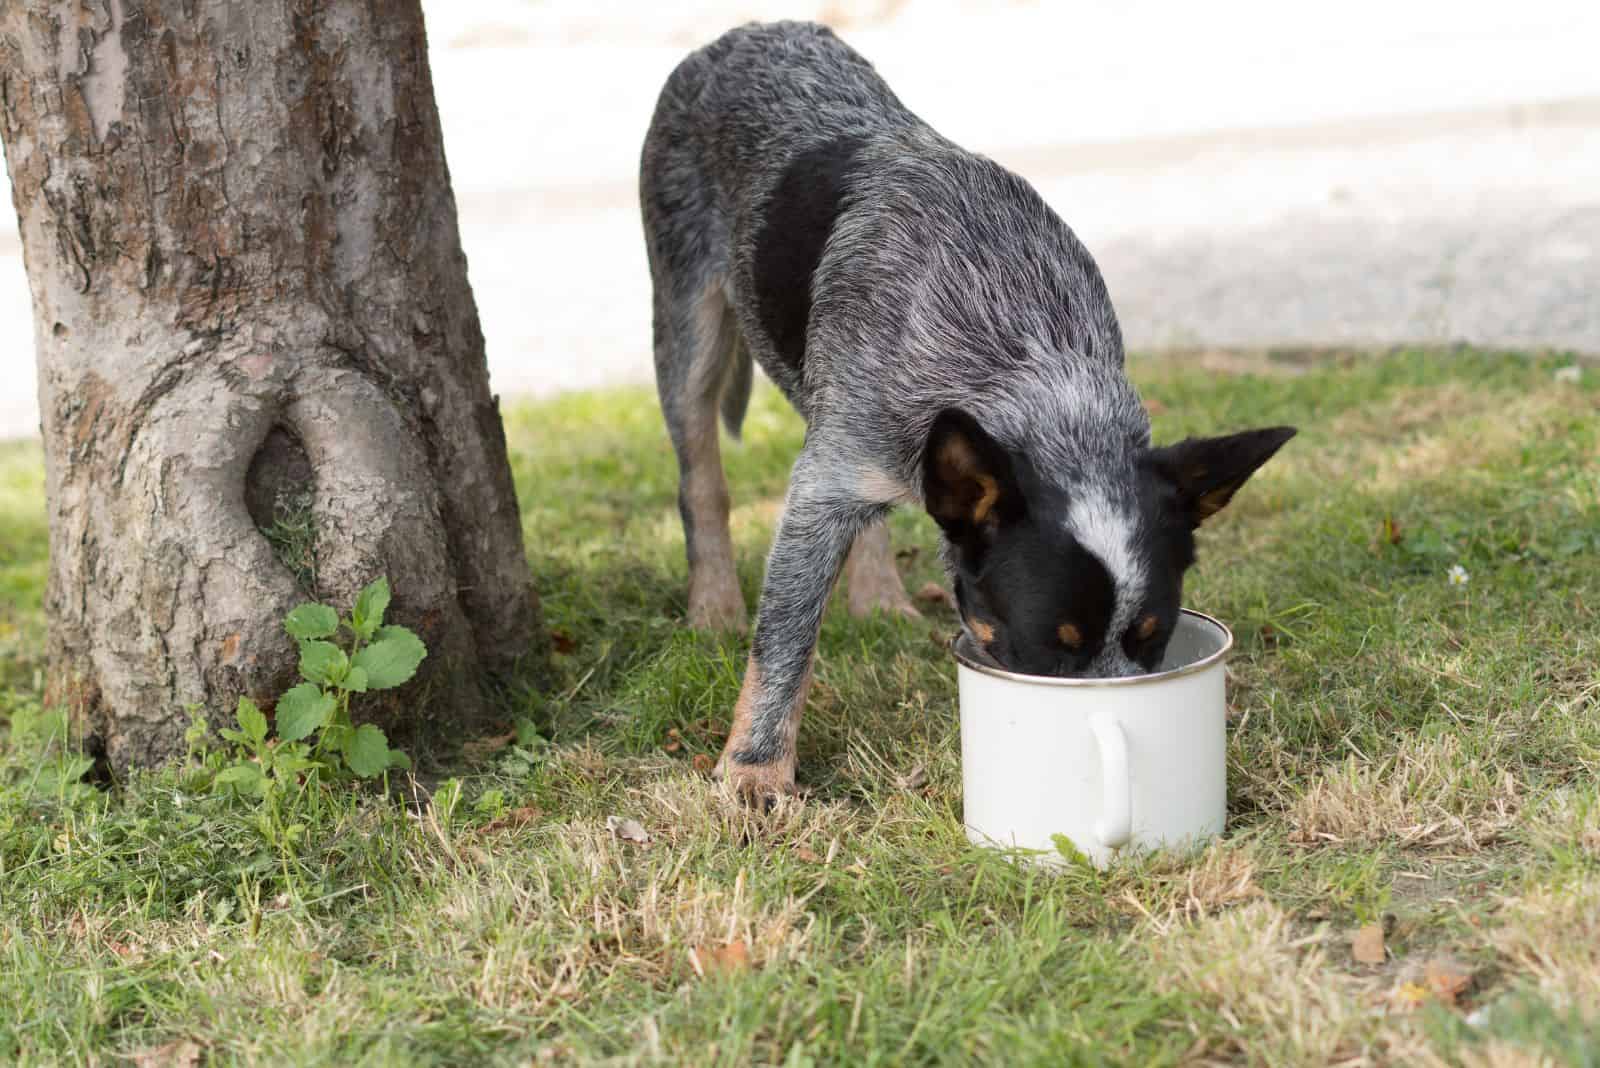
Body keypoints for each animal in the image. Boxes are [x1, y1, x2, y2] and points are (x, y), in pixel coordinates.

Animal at [640, 22, 1299, 799]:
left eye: (1154, 639)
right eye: (1050, 648)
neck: (1021, 349)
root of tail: (742, 33)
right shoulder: (824, 483)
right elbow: (784, 640)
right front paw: (755, 771)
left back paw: (876, 595)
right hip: (687, 321)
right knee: (700, 479)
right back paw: (713, 605)